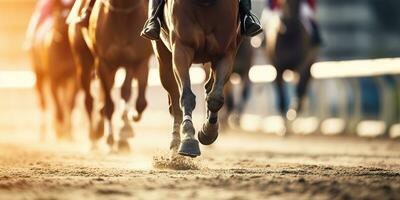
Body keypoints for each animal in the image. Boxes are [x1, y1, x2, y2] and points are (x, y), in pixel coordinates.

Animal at [29, 0, 78, 141]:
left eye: (71, 12)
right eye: (58, 15)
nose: (61, 31)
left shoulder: (73, 79)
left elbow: (70, 103)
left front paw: (68, 132)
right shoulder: (53, 79)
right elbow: (57, 103)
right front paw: (60, 130)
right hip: (38, 74)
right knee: (43, 101)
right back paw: (43, 132)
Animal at [73, 0, 152, 152]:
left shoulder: (137, 60)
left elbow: (139, 101)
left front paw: (127, 126)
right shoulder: (103, 62)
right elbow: (109, 104)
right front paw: (109, 139)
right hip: (83, 60)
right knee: (89, 100)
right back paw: (93, 137)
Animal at [152, 0, 241, 157]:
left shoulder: (226, 52)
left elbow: (215, 98)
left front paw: (208, 131)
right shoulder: (181, 48)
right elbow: (186, 96)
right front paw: (188, 138)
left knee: (209, 87)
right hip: (163, 55)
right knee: (175, 98)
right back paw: (175, 142)